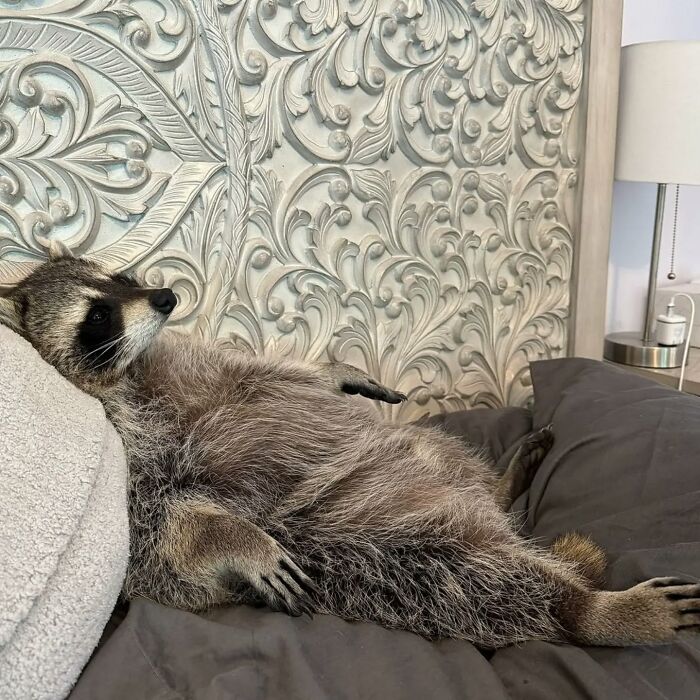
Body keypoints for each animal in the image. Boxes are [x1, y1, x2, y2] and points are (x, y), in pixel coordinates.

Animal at [1, 241, 699, 648]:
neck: (134, 371)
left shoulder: (213, 365)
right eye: (97, 316)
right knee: (492, 586)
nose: (167, 295)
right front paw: (234, 537)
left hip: (423, 461)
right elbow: (163, 538)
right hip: (393, 559)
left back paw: (503, 484)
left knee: (438, 449)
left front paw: (334, 373)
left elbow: (277, 373)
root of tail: (488, 520)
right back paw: (595, 612)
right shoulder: (129, 457)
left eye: (122, 276)